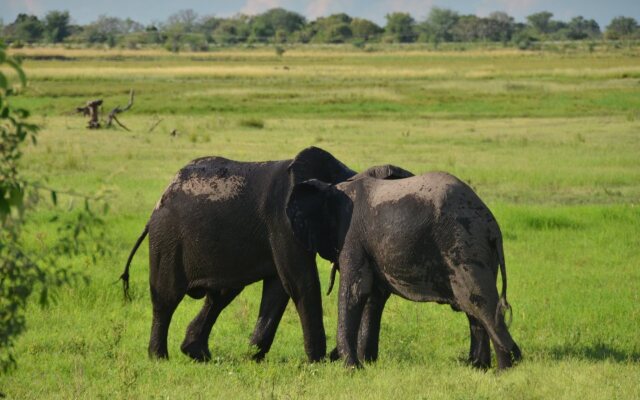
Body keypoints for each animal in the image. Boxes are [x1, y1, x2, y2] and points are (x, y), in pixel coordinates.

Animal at [288, 171, 524, 368]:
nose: (329, 358)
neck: (334, 188)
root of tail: (492, 225)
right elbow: (373, 297)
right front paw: (368, 363)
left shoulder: (352, 237)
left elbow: (355, 291)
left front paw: (353, 368)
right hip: (476, 250)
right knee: (473, 307)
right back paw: (478, 367)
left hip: (466, 243)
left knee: (480, 303)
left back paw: (505, 369)